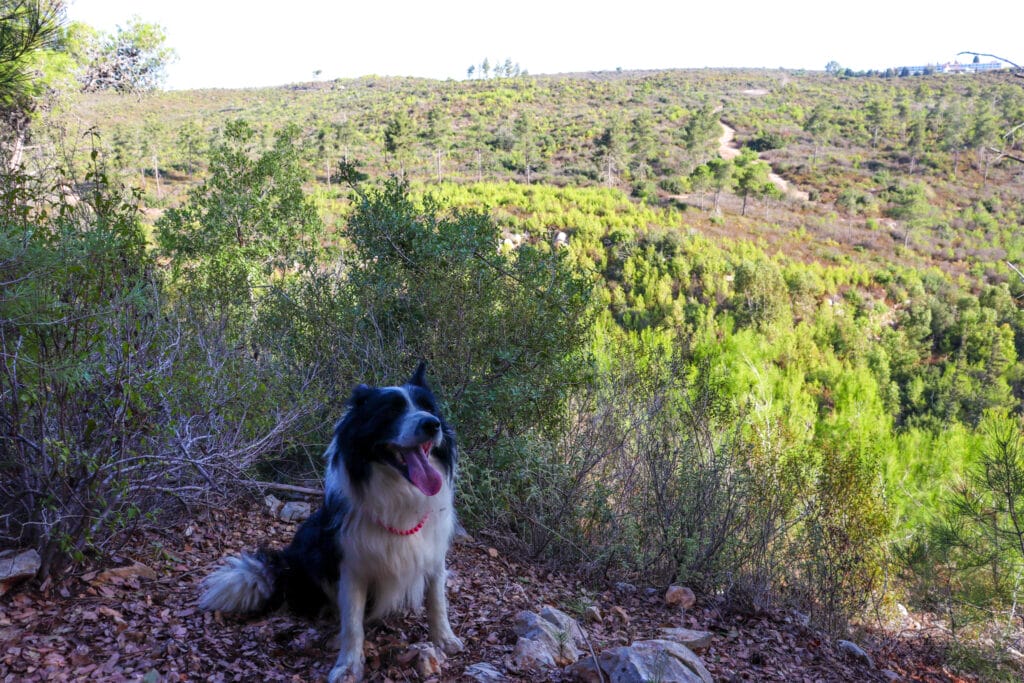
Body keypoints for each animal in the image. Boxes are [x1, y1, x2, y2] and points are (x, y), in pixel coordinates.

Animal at [199, 362, 464, 679]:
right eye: (390, 411)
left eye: (429, 408)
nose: (432, 424)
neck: (399, 495)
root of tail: (284, 567)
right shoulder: (351, 566)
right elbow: (352, 622)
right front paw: (348, 665)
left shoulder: (434, 554)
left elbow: (437, 601)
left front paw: (444, 639)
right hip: (312, 547)